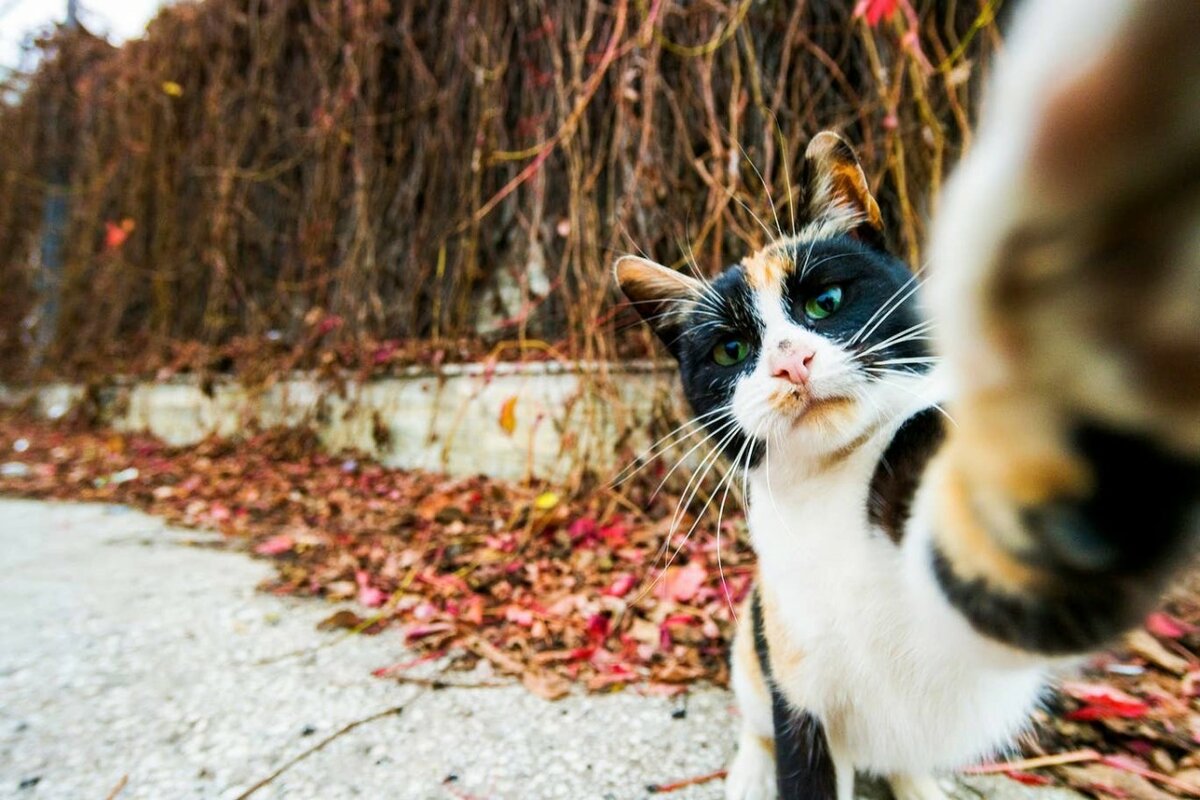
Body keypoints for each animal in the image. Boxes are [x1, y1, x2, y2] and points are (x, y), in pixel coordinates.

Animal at [619, 0, 1200, 791]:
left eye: (826, 301)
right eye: (732, 351)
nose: (791, 362)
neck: (832, 494)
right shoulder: (796, 685)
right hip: (751, 641)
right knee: (754, 719)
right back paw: (748, 772)